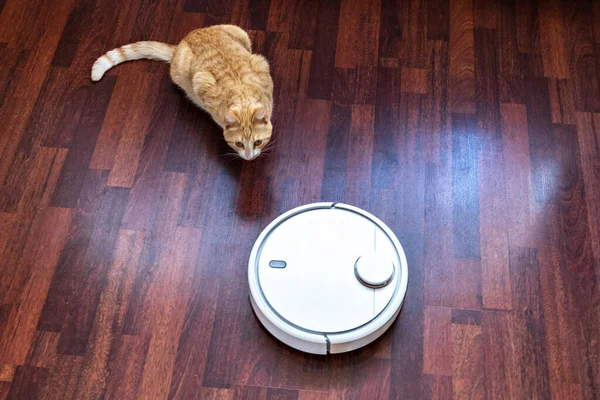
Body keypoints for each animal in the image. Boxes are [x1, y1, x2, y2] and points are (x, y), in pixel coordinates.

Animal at [92, 23, 274, 159]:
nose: (249, 157)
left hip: (239, 32)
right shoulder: (201, 82)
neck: (242, 96)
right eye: (239, 144)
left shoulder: (261, 64)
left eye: (258, 142)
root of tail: (180, 44)